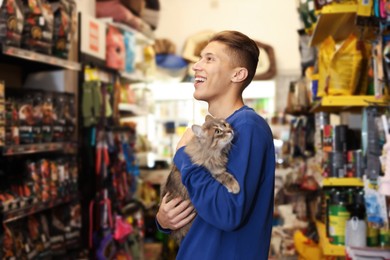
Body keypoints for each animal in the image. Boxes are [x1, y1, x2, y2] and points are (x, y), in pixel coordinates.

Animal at [160, 115, 239, 243]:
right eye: (218, 131)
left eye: (225, 125)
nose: (230, 131)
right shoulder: (211, 172)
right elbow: (224, 176)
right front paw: (235, 186)